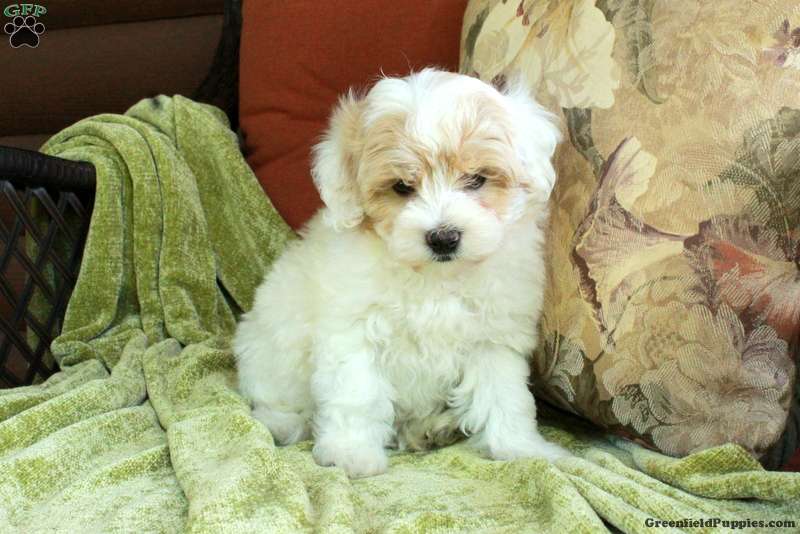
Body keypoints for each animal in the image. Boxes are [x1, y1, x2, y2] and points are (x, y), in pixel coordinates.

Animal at [234, 69, 569, 478]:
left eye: (476, 179)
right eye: (402, 187)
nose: (443, 237)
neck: (434, 278)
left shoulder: (492, 336)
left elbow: (505, 395)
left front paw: (521, 448)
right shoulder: (353, 333)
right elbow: (357, 396)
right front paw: (350, 453)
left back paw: (431, 430)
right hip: (268, 354)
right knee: (279, 405)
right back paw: (283, 424)